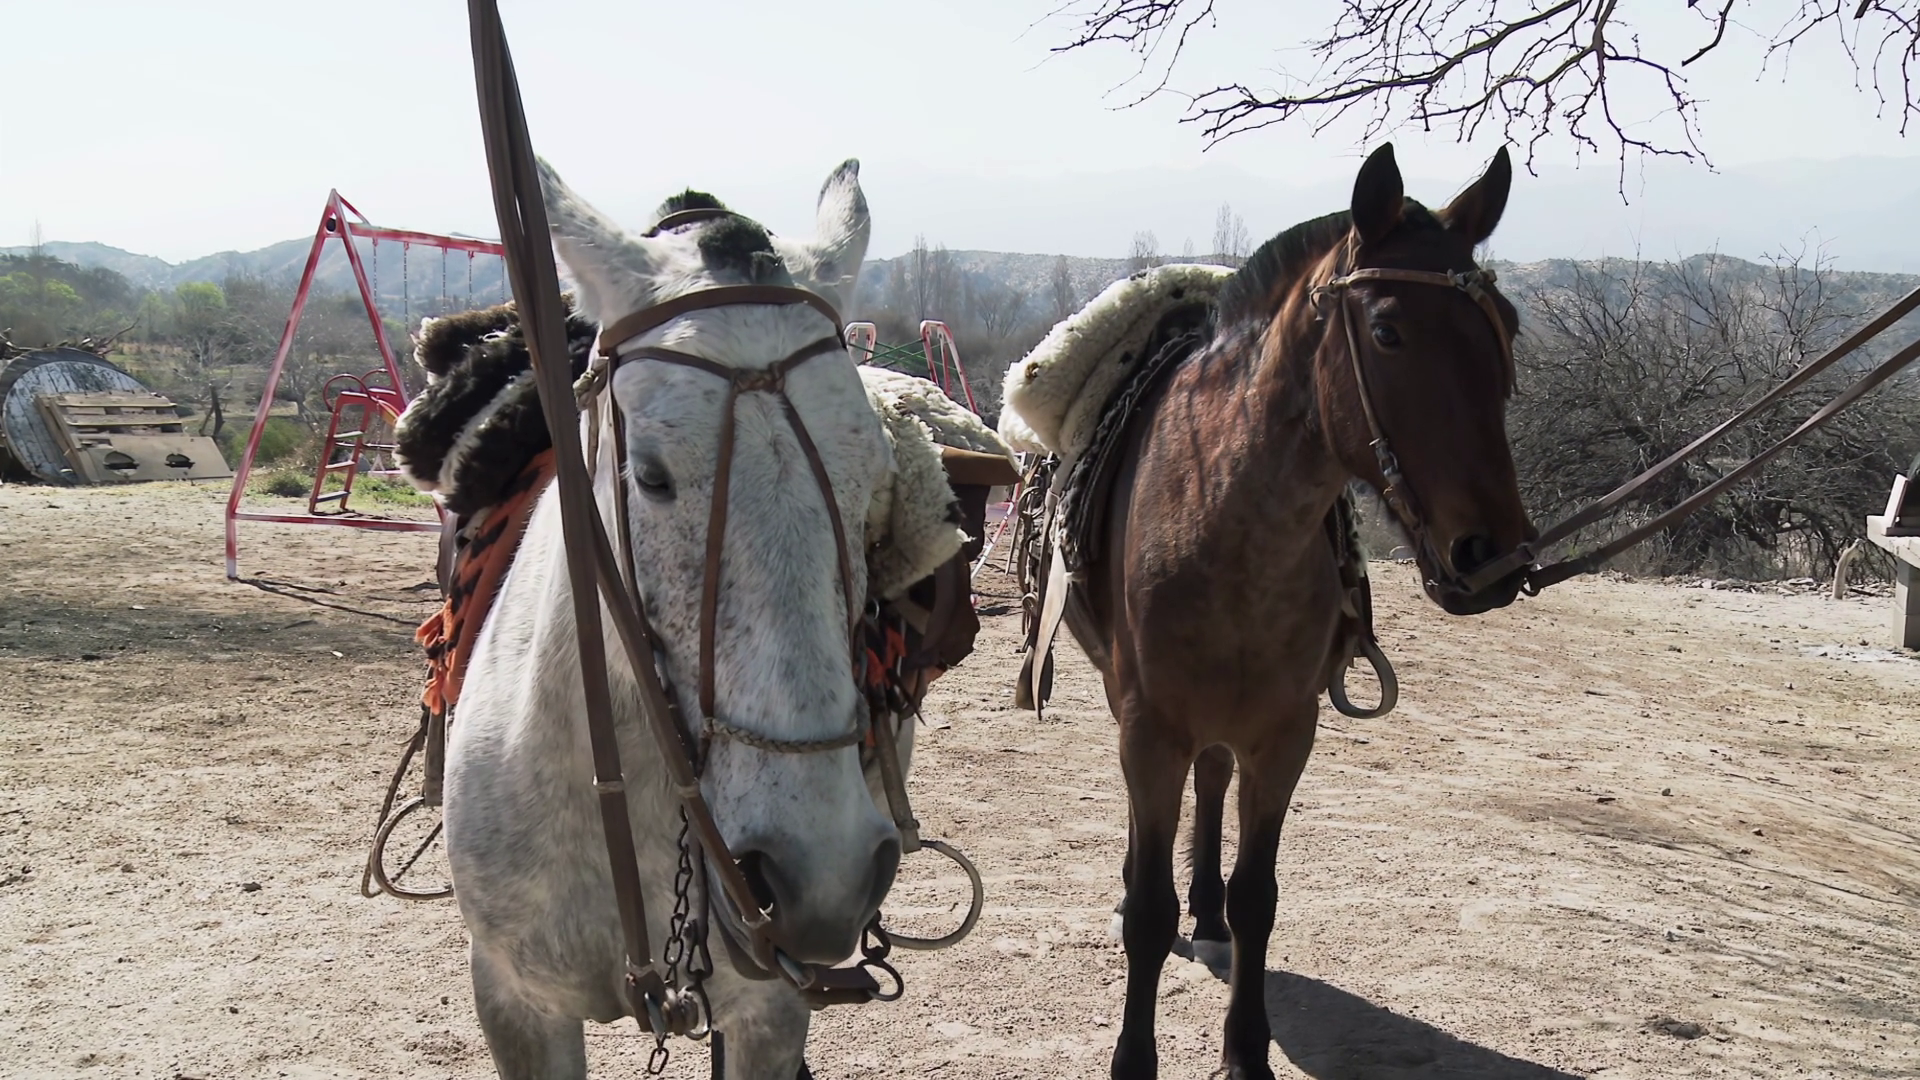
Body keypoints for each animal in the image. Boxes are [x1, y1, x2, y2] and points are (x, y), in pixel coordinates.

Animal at [1038, 144, 1534, 1079]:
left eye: (1507, 328)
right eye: (1387, 331)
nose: (1492, 556)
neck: (1225, 519)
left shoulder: (1284, 735)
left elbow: (1258, 897)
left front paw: (1246, 1050)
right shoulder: (1149, 728)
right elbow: (1149, 912)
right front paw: (1134, 1055)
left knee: (1212, 782)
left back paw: (1205, 909)